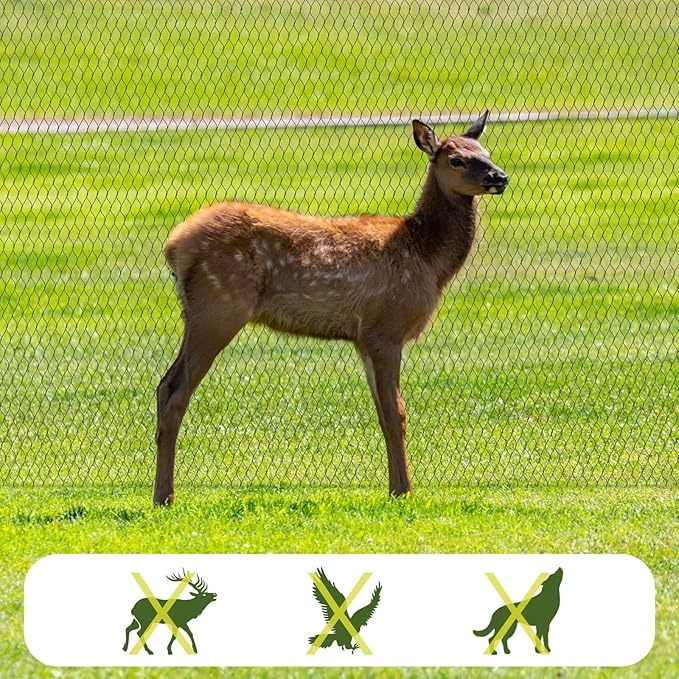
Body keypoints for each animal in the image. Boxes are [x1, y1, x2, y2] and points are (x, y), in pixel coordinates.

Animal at [154, 111, 508, 505]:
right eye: (456, 159)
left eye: (486, 152)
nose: (500, 177)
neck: (427, 258)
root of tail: (175, 245)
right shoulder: (386, 328)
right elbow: (396, 413)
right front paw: (404, 491)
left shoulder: (363, 338)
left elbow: (383, 414)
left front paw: (394, 488)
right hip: (219, 307)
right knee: (175, 391)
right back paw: (165, 497)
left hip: (199, 313)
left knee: (163, 384)